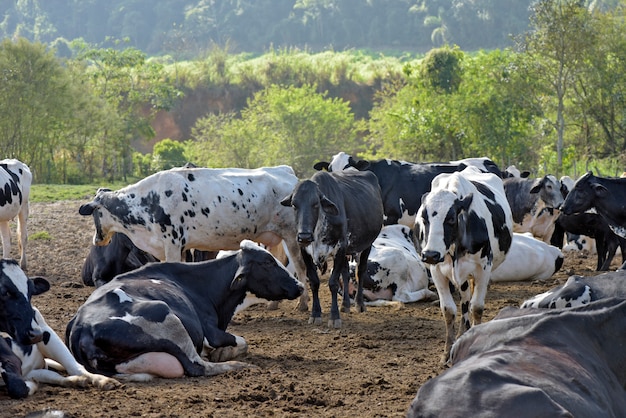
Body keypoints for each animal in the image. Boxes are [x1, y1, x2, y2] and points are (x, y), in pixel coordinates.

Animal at [0, 258, 119, 398]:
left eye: (31, 293)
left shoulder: (12, 360)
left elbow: (17, 387)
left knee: (75, 367)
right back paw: (74, 381)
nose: (36, 334)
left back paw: (102, 380)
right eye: (5, 292)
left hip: (49, 336)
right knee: (50, 375)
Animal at [65, 240, 302, 380]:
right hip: (166, 316)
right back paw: (240, 366)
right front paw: (224, 352)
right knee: (199, 367)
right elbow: (242, 342)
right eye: (268, 261)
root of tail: (80, 326)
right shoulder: (211, 333)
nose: (299, 286)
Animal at [78, 163, 310, 310]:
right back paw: (274, 303)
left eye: (94, 213)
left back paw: (303, 304)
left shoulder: (172, 243)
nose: (97, 240)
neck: (149, 200)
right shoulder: (176, 247)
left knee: (300, 266)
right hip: (275, 237)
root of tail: (285, 171)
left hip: (292, 235)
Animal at [280, 169, 382, 326]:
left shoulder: (340, 248)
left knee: (360, 271)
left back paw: (359, 304)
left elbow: (333, 283)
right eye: (294, 205)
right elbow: (314, 282)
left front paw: (334, 317)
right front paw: (315, 314)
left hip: (366, 245)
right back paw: (345, 304)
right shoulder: (306, 252)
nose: (304, 236)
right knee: (345, 273)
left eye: (316, 204)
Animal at [412, 167, 510, 360]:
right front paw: (447, 351)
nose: (430, 254)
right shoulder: (437, 271)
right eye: (424, 219)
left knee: (469, 303)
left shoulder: (483, 268)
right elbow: (449, 310)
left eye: (451, 219)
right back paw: (462, 333)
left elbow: (477, 307)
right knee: (464, 301)